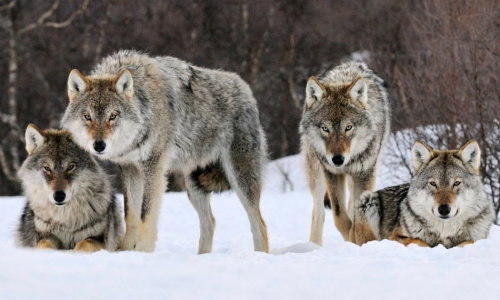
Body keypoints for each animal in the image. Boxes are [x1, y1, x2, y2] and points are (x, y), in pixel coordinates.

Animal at [62, 49, 270, 253]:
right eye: (87, 117)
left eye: (112, 116)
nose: (99, 146)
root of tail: (245, 88)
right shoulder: (130, 169)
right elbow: (131, 215)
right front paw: (126, 251)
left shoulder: (153, 168)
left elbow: (145, 216)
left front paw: (142, 252)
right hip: (193, 185)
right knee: (210, 222)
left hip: (240, 179)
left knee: (259, 224)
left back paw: (259, 256)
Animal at [298, 61, 392, 246]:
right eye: (325, 128)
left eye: (348, 127)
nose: (337, 159)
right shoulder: (332, 172)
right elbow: (339, 216)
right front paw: (350, 237)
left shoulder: (365, 173)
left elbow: (357, 217)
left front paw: (358, 240)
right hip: (317, 175)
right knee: (318, 213)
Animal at [360, 139, 496, 247]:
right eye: (433, 184)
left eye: (456, 183)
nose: (444, 209)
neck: (444, 231)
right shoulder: (395, 238)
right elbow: (419, 241)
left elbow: (469, 242)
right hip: (368, 200)